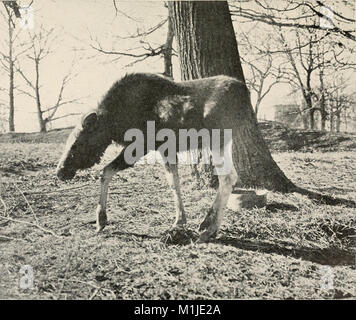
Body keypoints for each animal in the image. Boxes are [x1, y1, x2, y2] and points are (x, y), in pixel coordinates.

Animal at [55, 73, 252, 242]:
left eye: (76, 143)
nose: (60, 171)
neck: (115, 122)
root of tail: (246, 94)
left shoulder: (141, 145)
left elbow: (106, 170)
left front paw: (101, 219)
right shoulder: (165, 148)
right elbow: (174, 182)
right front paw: (180, 221)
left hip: (218, 138)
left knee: (228, 177)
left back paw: (210, 229)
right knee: (230, 177)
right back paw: (208, 224)